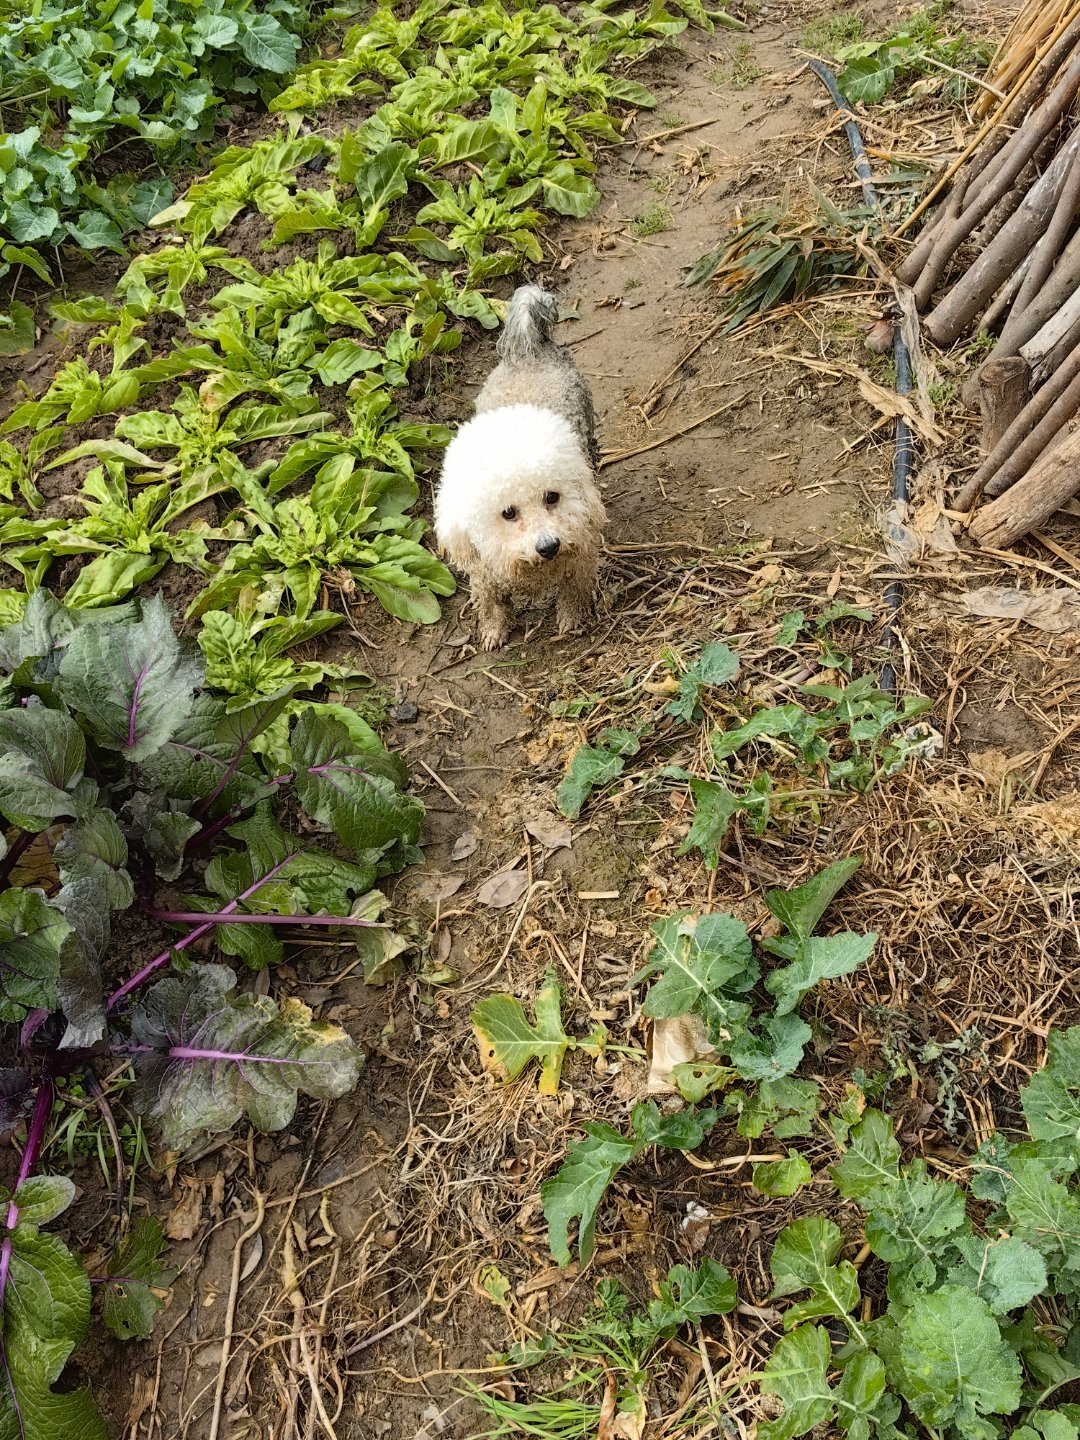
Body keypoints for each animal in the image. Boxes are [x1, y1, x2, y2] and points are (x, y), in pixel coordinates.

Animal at [434, 286, 604, 648]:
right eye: (508, 513)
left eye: (552, 497)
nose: (548, 546)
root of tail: (529, 352)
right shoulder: (483, 573)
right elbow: (491, 603)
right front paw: (493, 631)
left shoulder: (581, 553)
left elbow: (574, 591)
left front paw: (571, 619)